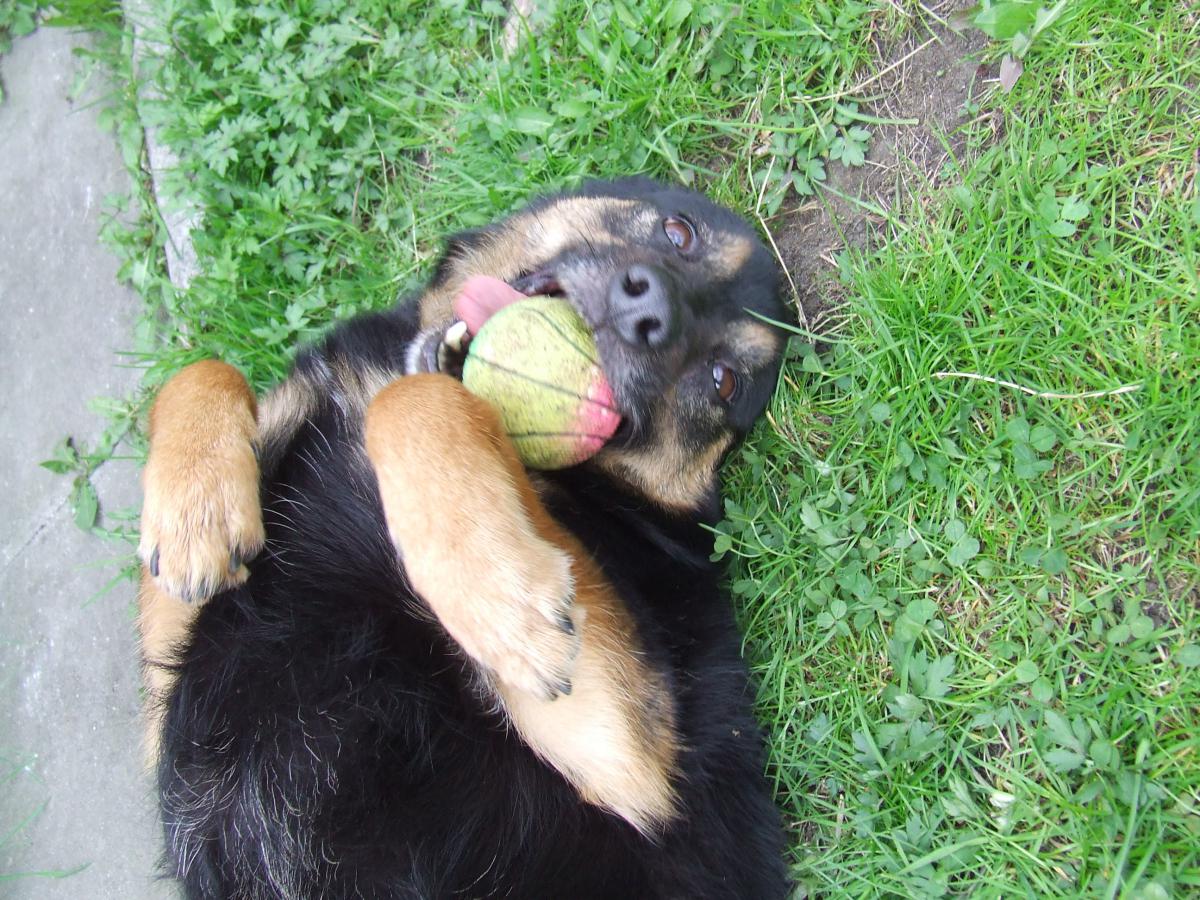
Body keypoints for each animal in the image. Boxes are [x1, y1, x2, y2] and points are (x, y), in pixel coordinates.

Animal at [136, 177, 792, 898]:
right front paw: (194, 516)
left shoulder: (627, 762)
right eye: (680, 233)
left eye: (723, 379)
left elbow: (413, 399)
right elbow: (201, 369)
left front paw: (502, 601)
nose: (649, 311)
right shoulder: (169, 674)